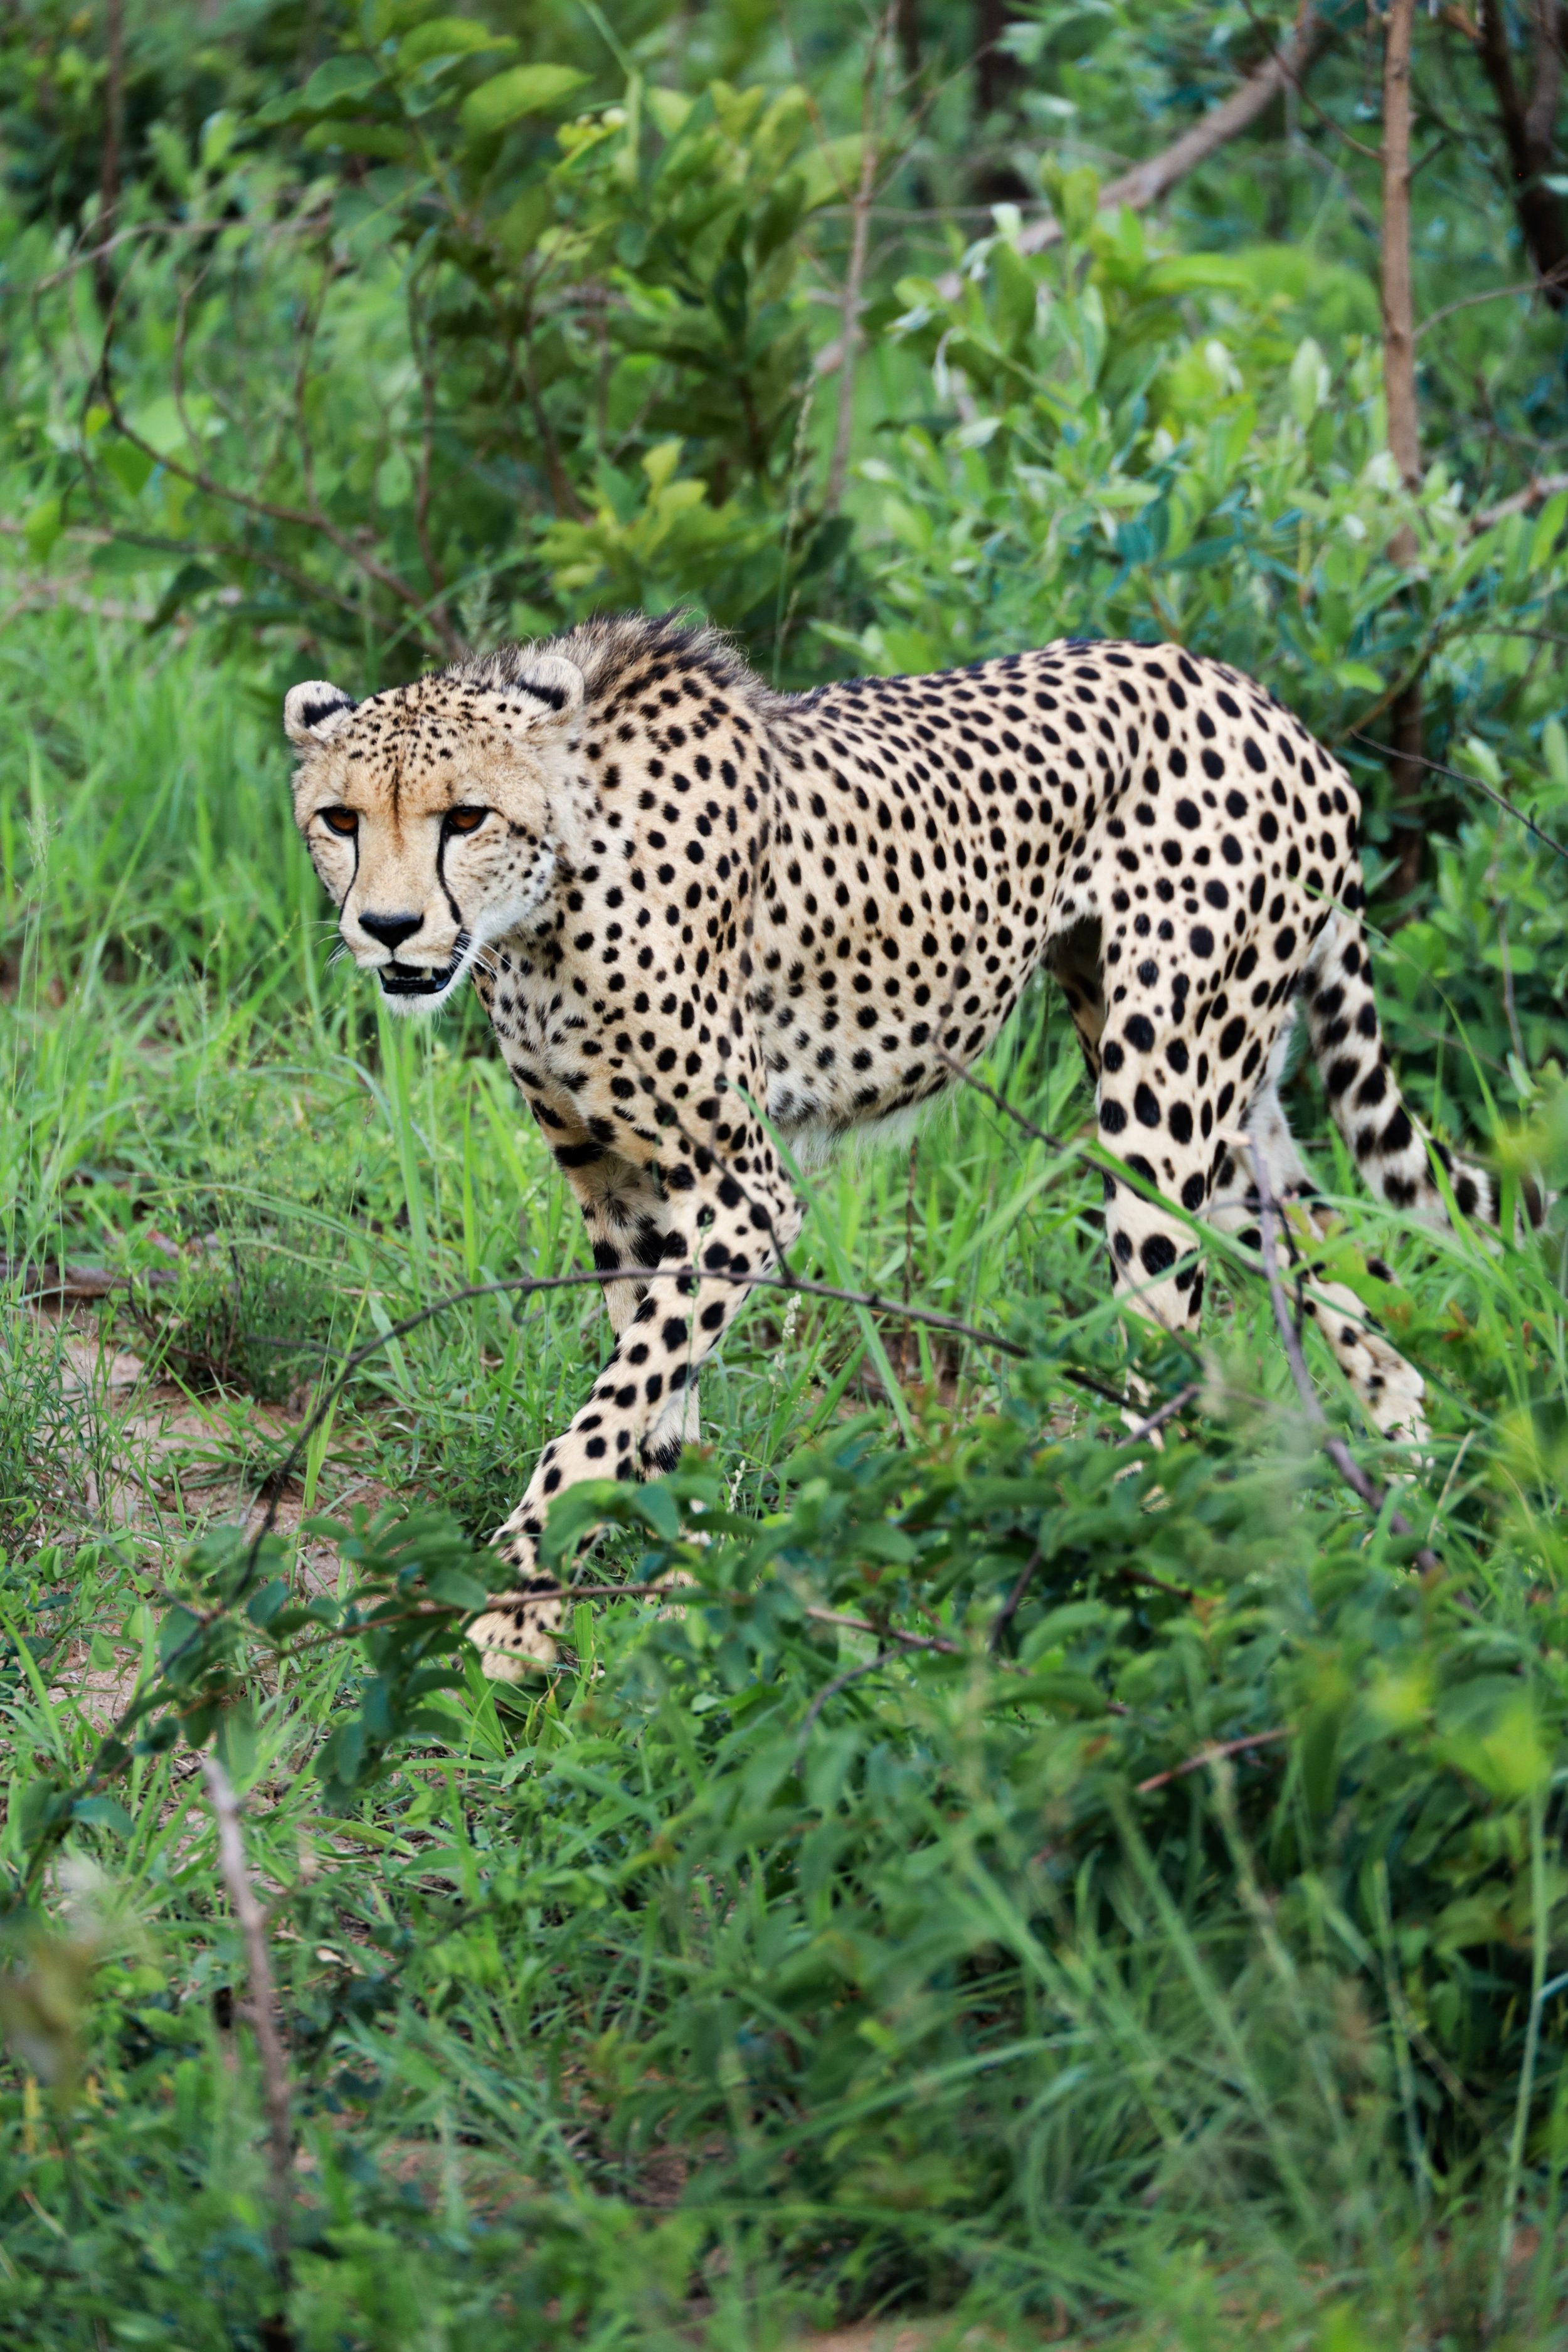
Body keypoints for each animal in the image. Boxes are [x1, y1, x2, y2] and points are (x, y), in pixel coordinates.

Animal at [285, 613, 1497, 1679]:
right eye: (342, 821)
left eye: (466, 817)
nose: (386, 930)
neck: (549, 905)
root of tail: (1270, 707)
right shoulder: (618, 1183)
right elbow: (654, 1400)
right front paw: (684, 1589)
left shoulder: (741, 1190)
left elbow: (608, 1412)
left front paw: (519, 1609)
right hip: (1225, 1107)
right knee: (1346, 1282)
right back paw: (1415, 1491)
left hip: (1160, 1104)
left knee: (1172, 1356)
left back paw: (1142, 1583)